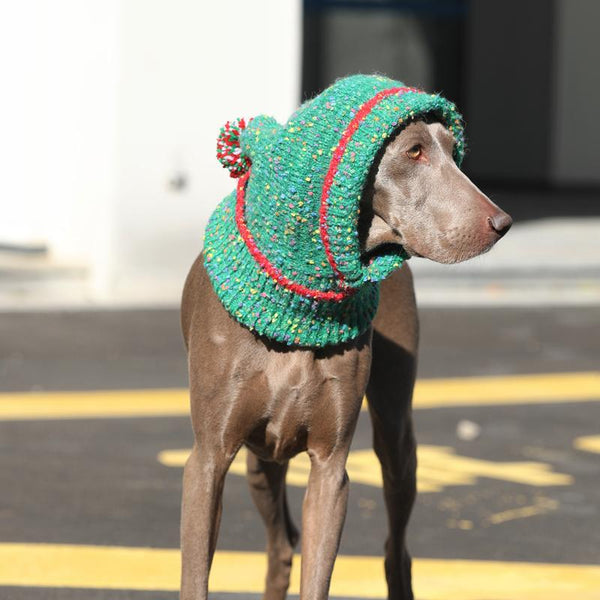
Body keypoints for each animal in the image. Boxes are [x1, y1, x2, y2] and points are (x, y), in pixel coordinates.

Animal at [179, 113, 510, 600]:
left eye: (454, 150)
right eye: (414, 151)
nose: (503, 223)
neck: (299, 310)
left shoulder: (330, 468)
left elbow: (319, 574)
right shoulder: (207, 460)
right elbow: (196, 574)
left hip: (396, 435)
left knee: (395, 549)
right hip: (257, 462)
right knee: (281, 544)